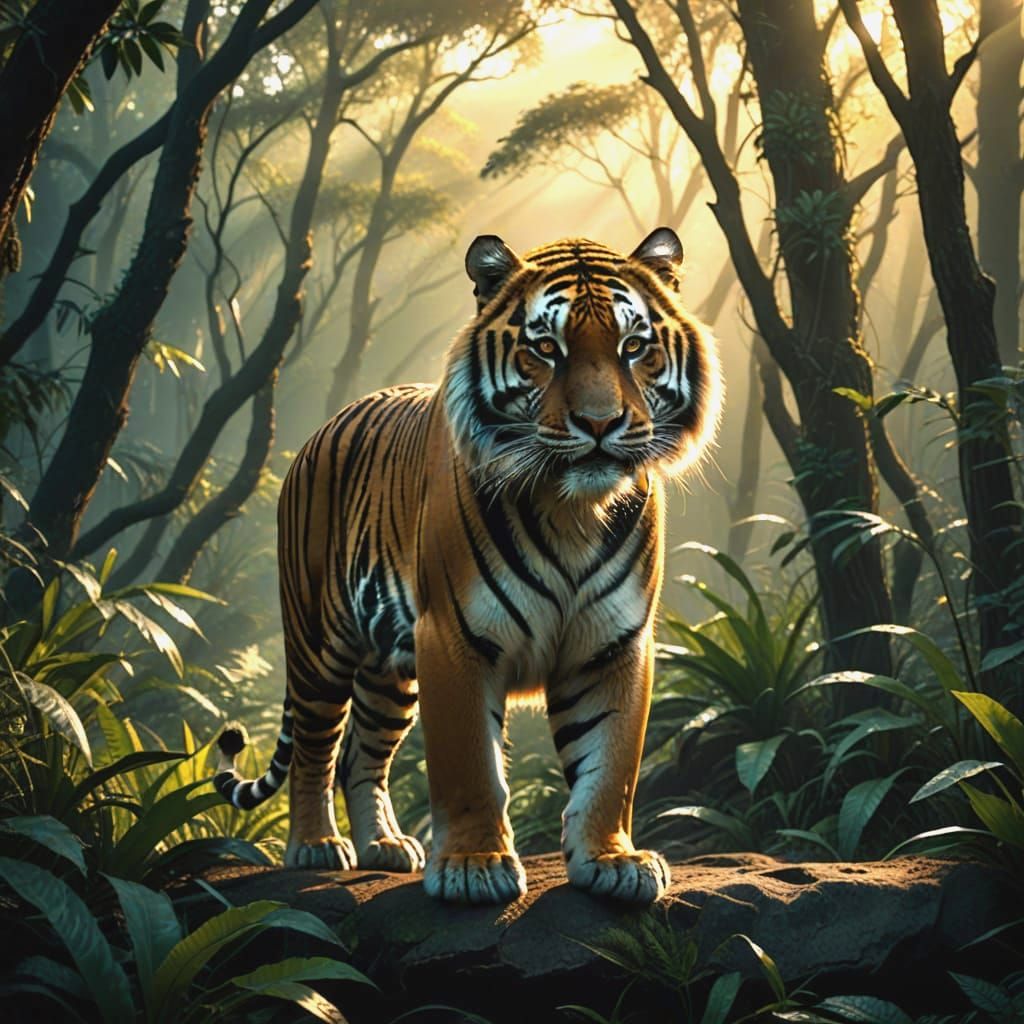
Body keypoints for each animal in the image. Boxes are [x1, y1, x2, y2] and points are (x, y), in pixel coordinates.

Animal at [213, 226, 722, 905]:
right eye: (545, 348)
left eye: (633, 346)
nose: (600, 423)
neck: (573, 509)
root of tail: (326, 424)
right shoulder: (455, 637)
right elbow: (471, 764)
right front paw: (474, 867)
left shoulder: (612, 645)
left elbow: (610, 765)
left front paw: (613, 861)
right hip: (320, 644)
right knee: (315, 751)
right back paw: (316, 846)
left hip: (388, 670)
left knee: (360, 756)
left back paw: (384, 846)